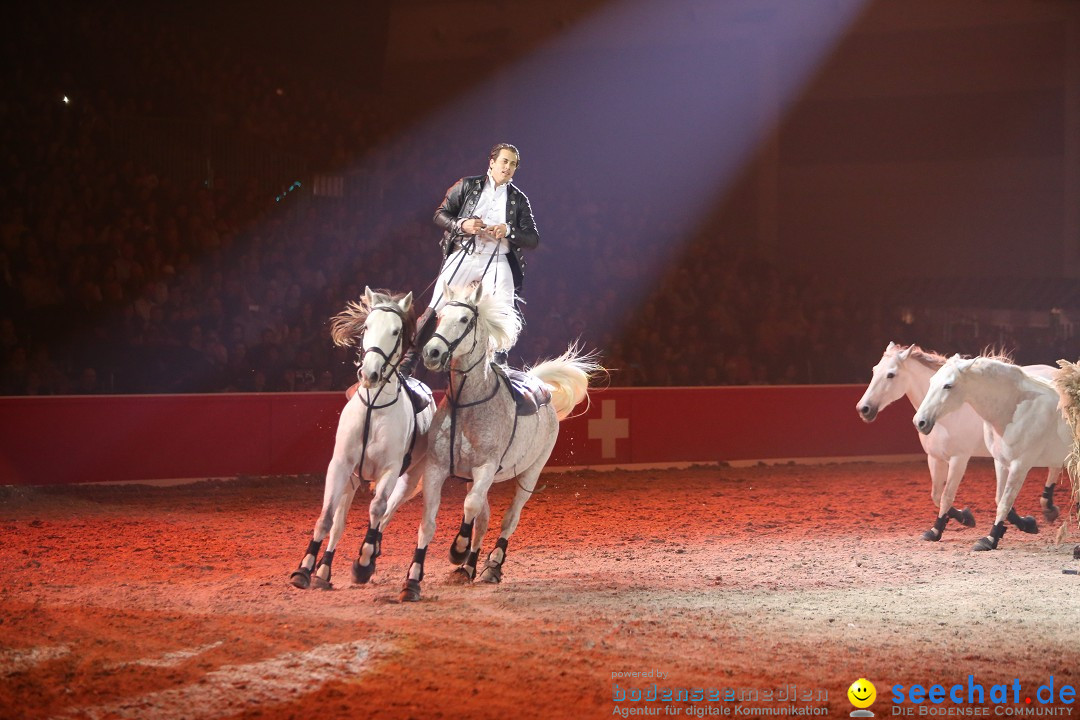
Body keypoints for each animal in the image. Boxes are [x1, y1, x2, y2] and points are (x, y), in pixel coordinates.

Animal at [293, 287, 436, 591]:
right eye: (367, 326)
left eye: (396, 331)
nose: (369, 373)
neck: (374, 405)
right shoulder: (340, 466)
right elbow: (326, 519)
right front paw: (305, 569)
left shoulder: (390, 471)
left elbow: (377, 509)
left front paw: (363, 562)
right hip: (351, 480)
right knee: (339, 524)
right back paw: (324, 571)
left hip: (409, 480)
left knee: (386, 513)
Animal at [399, 282, 604, 604]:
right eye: (439, 316)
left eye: (465, 320)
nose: (432, 352)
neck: (466, 405)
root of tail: (541, 388)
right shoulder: (437, 469)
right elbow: (430, 523)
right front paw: (413, 580)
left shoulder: (485, 467)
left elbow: (470, 507)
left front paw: (458, 549)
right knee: (483, 520)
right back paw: (468, 568)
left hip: (530, 475)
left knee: (509, 518)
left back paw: (493, 565)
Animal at [859, 343, 1062, 539]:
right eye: (874, 370)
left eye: (891, 374)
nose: (863, 409)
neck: (945, 416)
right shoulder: (935, 458)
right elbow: (936, 495)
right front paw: (966, 517)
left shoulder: (959, 458)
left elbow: (947, 496)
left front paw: (937, 531)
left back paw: (1048, 507)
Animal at [911, 354, 1071, 552]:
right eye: (932, 381)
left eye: (948, 385)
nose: (920, 422)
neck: (1016, 408)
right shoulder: (1001, 462)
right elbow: (999, 499)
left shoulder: (1019, 465)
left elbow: (1004, 503)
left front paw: (989, 539)